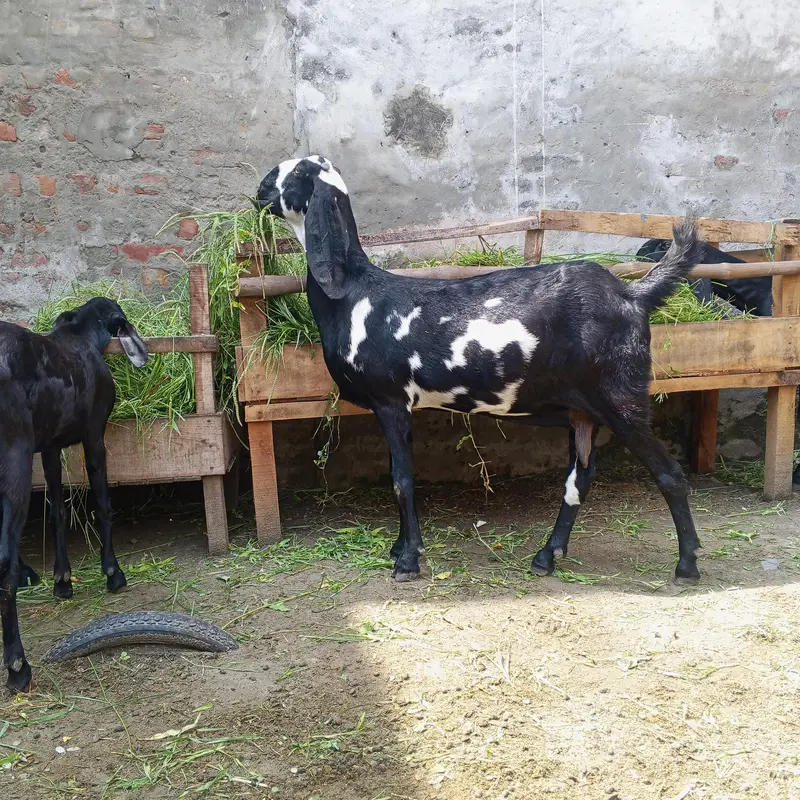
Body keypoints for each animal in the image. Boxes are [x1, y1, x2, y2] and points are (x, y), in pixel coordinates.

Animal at [0, 298, 148, 692]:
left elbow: (57, 512)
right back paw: (18, 666)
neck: (80, 336)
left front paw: (63, 581)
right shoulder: (94, 434)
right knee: (4, 564)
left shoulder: (51, 447)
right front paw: (113, 573)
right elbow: (103, 504)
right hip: (14, 462)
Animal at [256, 156, 704, 588]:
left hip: (621, 396)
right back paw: (546, 556)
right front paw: (399, 547)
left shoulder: (392, 400)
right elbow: (396, 476)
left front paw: (407, 560)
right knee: (580, 478)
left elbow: (401, 479)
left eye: (296, 172)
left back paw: (686, 565)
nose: (260, 189)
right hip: (583, 409)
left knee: (669, 473)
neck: (354, 293)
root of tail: (632, 295)